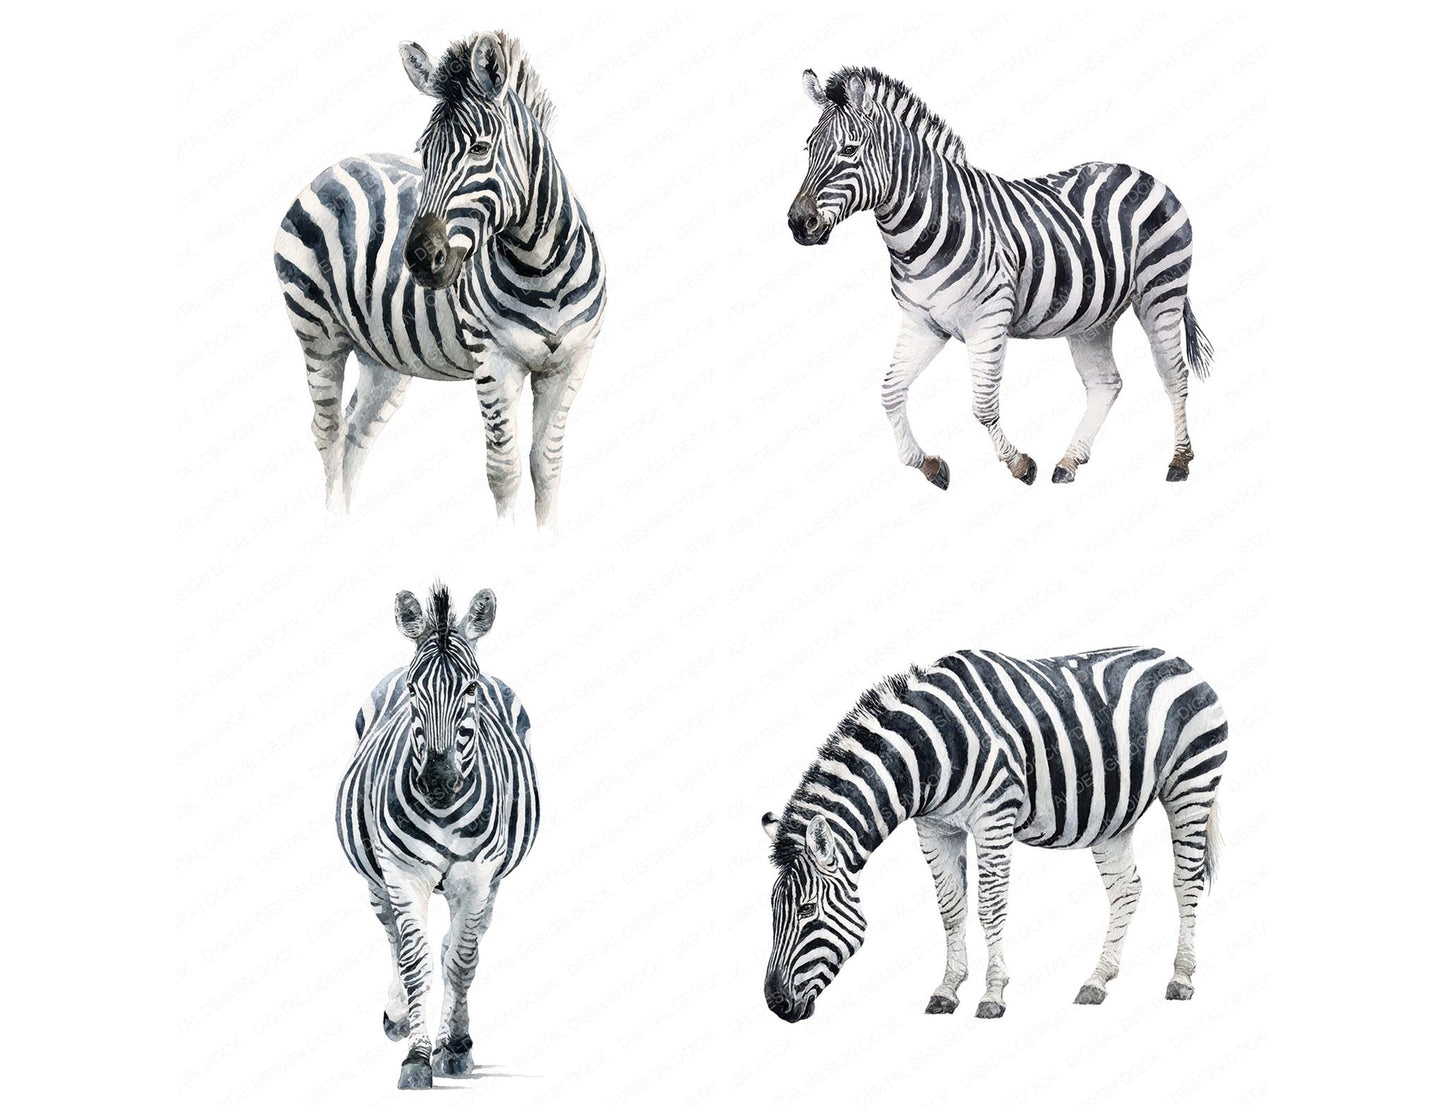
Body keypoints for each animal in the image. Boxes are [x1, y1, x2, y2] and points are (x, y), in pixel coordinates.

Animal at [274, 32, 606, 525]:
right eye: (423, 153)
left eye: (480, 149)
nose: (418, 258)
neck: (542, 269)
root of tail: (335, 166)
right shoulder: (493, 361)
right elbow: (504, 470)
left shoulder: (571, 363)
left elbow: (546, 467)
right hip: (318, 332)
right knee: (328, 431)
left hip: (383, 355)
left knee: (356, 432)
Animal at [336, 584, 539, 1089]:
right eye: (413, 689)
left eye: (470, 689)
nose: (438, 781)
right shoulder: (402, 872)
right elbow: (414, 960)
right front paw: (416, 1055)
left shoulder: (478, 876)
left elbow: (461, 961)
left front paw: (456, 1047)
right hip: (375, 876)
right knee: (392, 936)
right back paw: (397, 1019)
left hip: (494, 881)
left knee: (463, 947)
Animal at [761, 646, 1227, 1022]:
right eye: (772, 912)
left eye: (806, 911)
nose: (776, 1005)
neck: (932, 752)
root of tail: (1177, 658)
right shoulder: (934, 829)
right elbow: (951, 909)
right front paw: (947, 991)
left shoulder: (993, 818)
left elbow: (990, 907)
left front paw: (992, 995)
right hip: (1115, 810)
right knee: (1126, 889)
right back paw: (1097, 981)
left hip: (1191, 783)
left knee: (1186, 881)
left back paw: (1181, 979)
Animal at [787, 67, 1214, 488]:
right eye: (808, 150)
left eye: (849, 150)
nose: (798, 223)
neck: (921, 231)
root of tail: (1142, 173)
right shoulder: (922, 323)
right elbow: (891, 391)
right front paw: (927, 464)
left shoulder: (988, 321)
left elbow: (982, 405)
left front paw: (1019, 464)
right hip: (1093, 318)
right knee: (1106, 383)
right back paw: (1070, 461)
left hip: (1161, 293)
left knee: (1174, 376)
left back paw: (1179, 462)